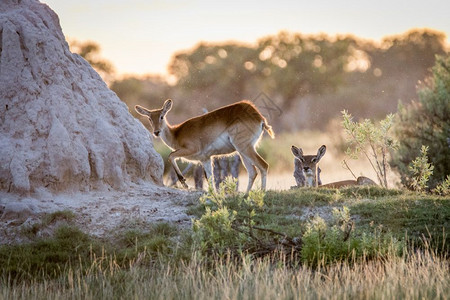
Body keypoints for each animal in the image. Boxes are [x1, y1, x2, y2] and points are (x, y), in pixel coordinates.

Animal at [134, 99, 274, 192]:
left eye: (162, 116)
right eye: (150, 118)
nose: (156, 132)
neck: (176, 134)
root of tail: (259, 117)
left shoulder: (190, 150)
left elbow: (171, 156)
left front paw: (184, 183)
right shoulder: (205, 159)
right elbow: (211, 178)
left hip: (244, 148)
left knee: (263, 165)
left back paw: (261, 194)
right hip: (242, 151)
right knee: (253, 171)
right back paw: (246, 195)